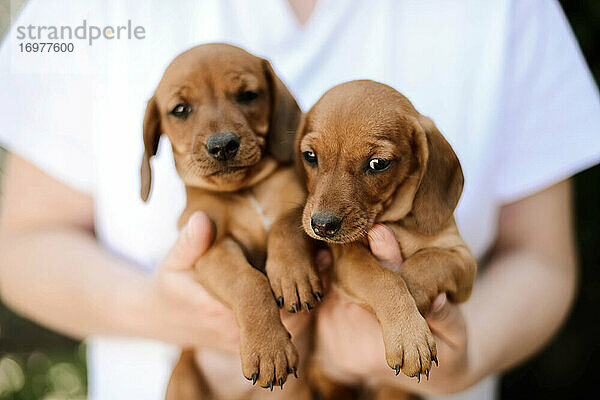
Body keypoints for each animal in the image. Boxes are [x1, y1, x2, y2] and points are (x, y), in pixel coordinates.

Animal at [141, 42, 318, 398]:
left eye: (248, 95)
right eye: (180, 109)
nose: (222, 145)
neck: (245, 191)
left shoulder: (303, 206)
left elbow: (285, 226)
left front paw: (293, 273)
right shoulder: (210, 247)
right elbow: (248, 281)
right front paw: (269, 349)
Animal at [290, 80, 478, 396]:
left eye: (378, 163)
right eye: (310, 157)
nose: (322, 226)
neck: (397, 223)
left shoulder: (463, 261)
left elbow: (426, 263)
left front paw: (412, 314)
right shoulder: (349, 260)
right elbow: (385, 279)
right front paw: (408, 332)